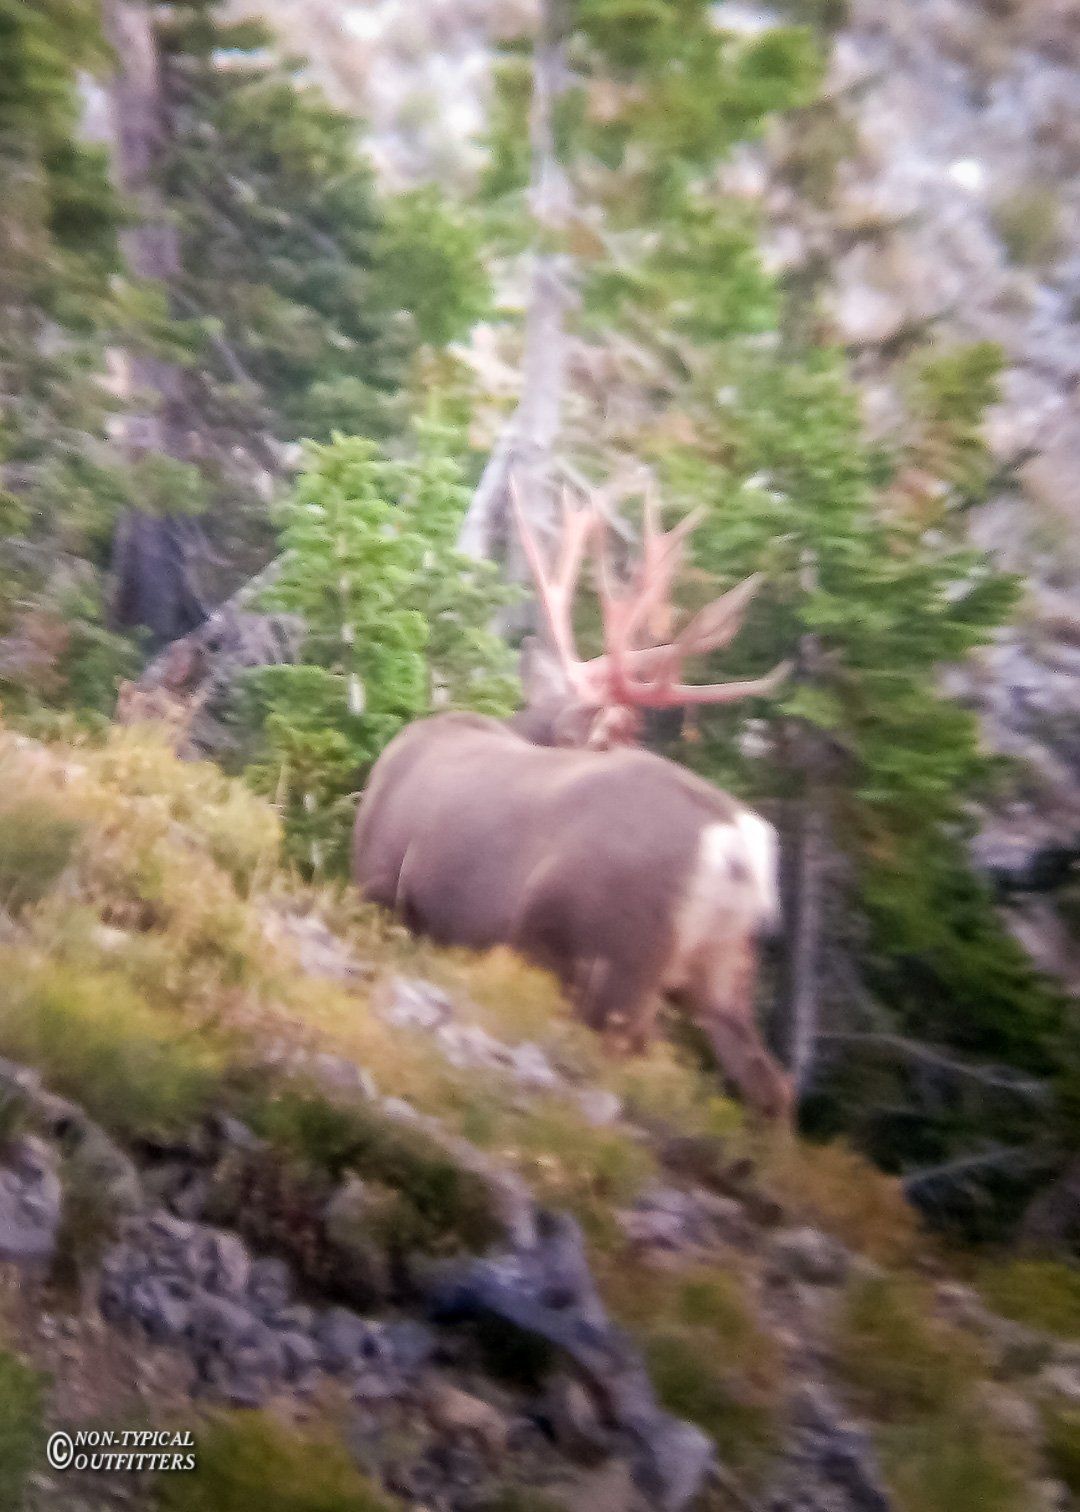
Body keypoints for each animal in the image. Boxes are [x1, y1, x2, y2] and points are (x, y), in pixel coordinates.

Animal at [352, 478, 794, 1119]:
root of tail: (735, 842)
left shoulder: (379, 877)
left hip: (618, 951)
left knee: (628, 1054)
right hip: (724, 970)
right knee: (772, 1084)